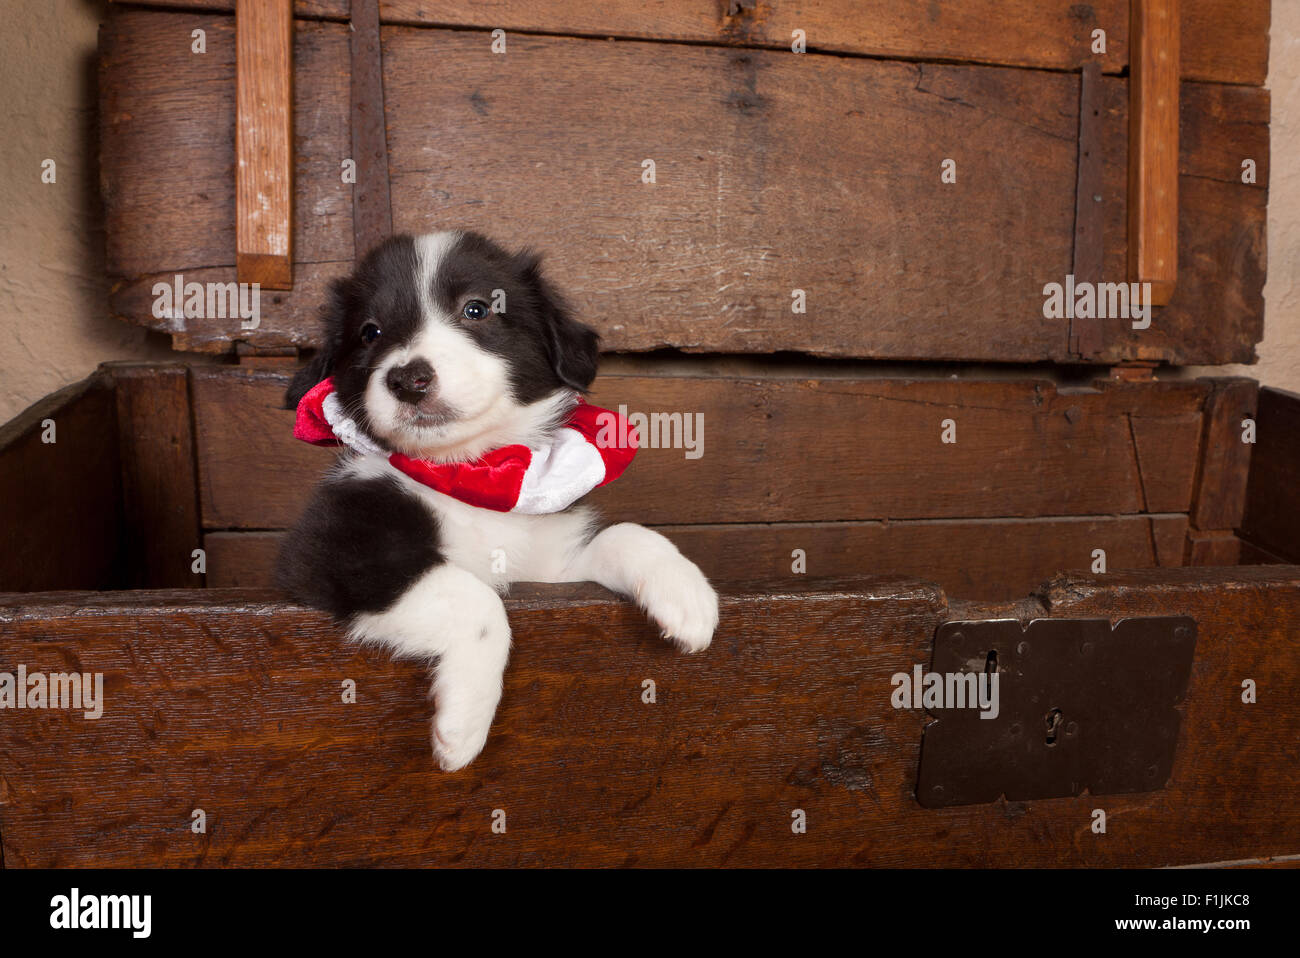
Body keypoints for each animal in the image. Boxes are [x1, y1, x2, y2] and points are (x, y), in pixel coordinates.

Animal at [276, 230, 722, 769]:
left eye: (476, 310)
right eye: (369, 332)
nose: (408, 380)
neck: (470, 473)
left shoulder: (550, 572)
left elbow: (623, 535)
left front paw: (686, 595)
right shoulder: (333, 551)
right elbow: (480, 601)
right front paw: (463, 723)